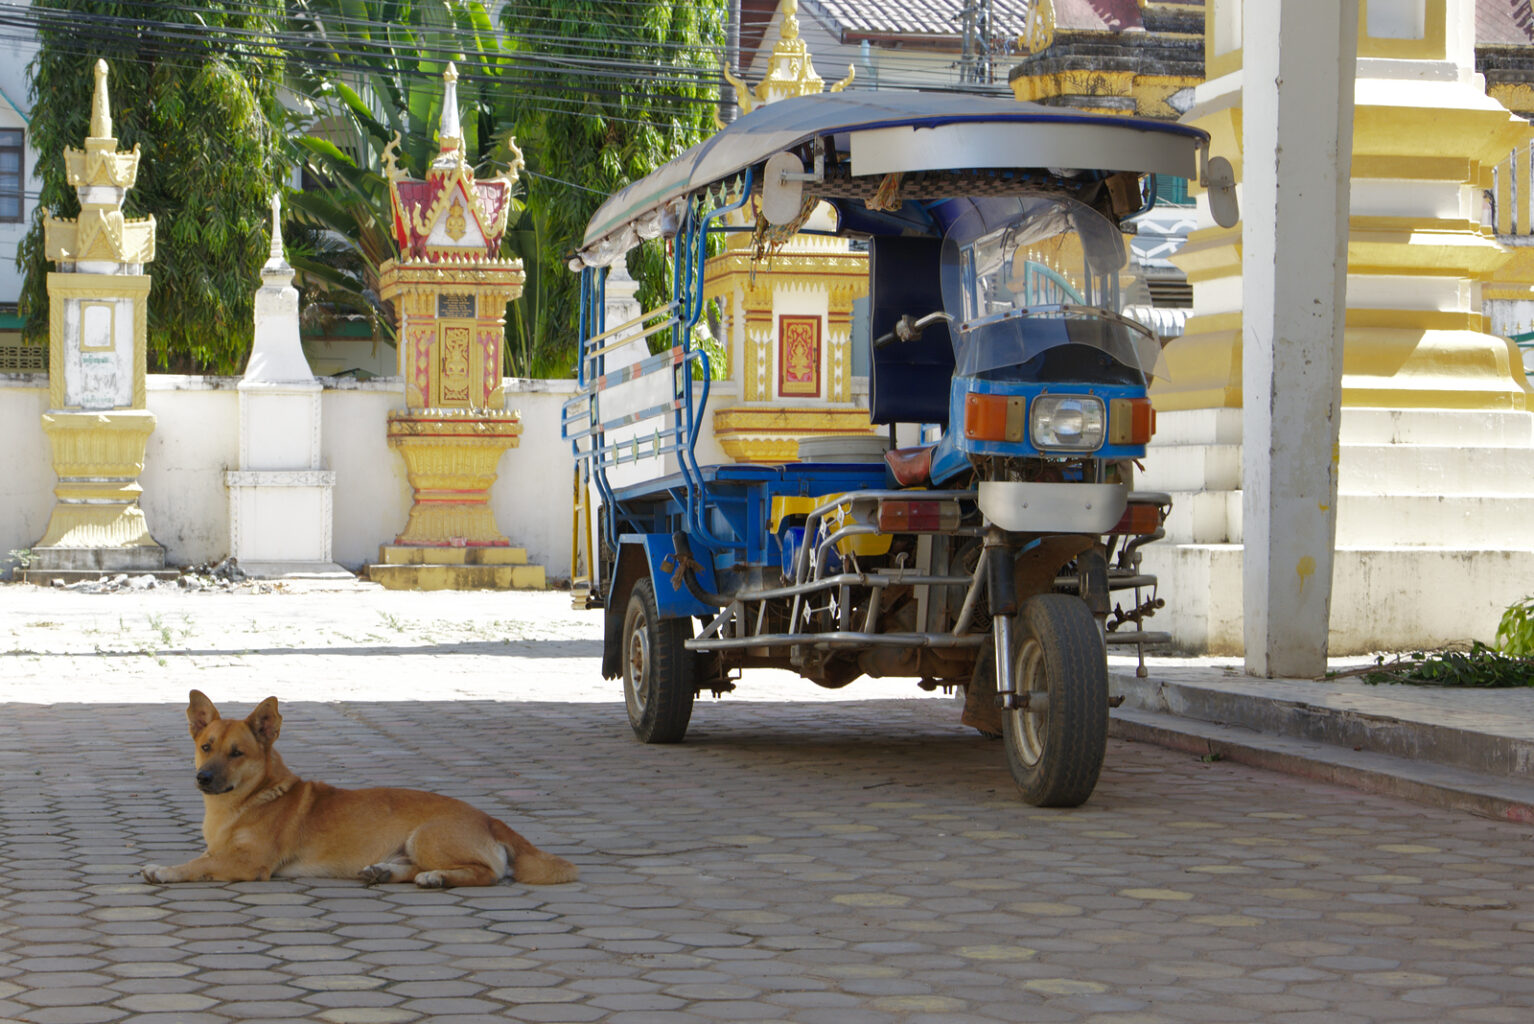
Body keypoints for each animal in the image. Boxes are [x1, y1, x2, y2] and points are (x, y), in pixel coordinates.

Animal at [141, 692, 576, 889]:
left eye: (237, 753)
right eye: (206, 747)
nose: (203, 778)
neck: (248, 801)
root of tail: (491, 819)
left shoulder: (249, 864)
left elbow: (196, 866)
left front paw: (164, 870)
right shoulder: (220, 850)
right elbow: (199, 857)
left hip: (426, 837)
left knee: (488, 873)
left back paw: (436, 877)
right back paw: (385, 871)